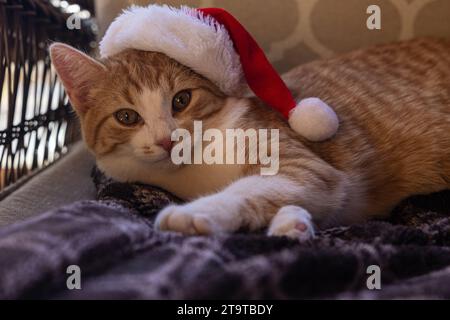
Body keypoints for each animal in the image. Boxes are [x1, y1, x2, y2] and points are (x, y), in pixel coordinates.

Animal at [49, 38, 450, 240]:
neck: (195, 170)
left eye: (181, 100)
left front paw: (195, 213)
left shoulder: (305, 167)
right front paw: (293, 224)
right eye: (127, 117)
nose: (167, 140)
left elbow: (249, 189)